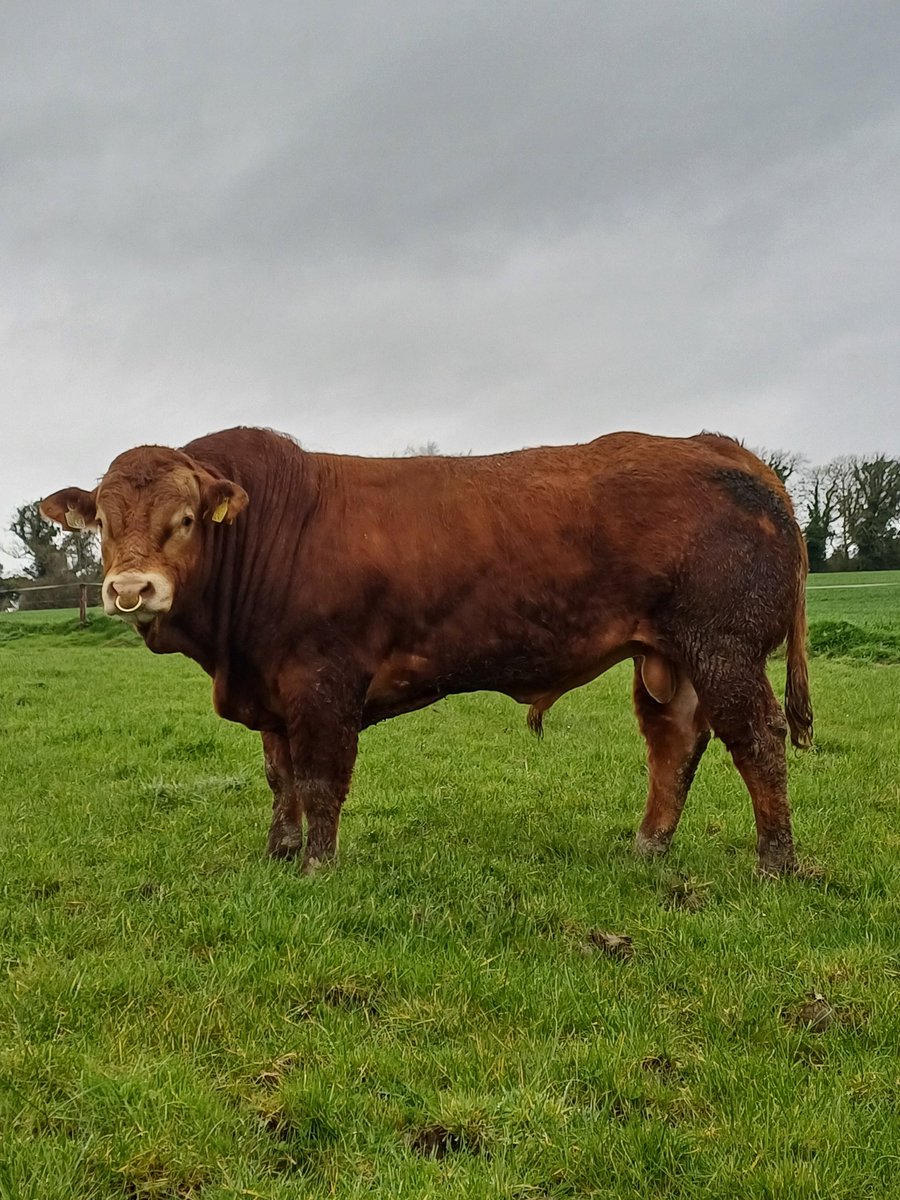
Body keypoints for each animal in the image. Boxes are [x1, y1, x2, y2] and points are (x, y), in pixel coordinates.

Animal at [41, 427, 812, 877]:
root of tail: (721, 446)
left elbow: (319, 779)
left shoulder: (322, 682)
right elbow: (279, 776)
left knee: (757, 739)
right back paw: (649, 846)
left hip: (724, 645)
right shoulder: (271, 688)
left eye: (185, 519)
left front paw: (316, 868)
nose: (131, 589)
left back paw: (775, 863)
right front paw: (278, 852)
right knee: (675, 742)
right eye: (102, 522)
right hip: (671, 656)